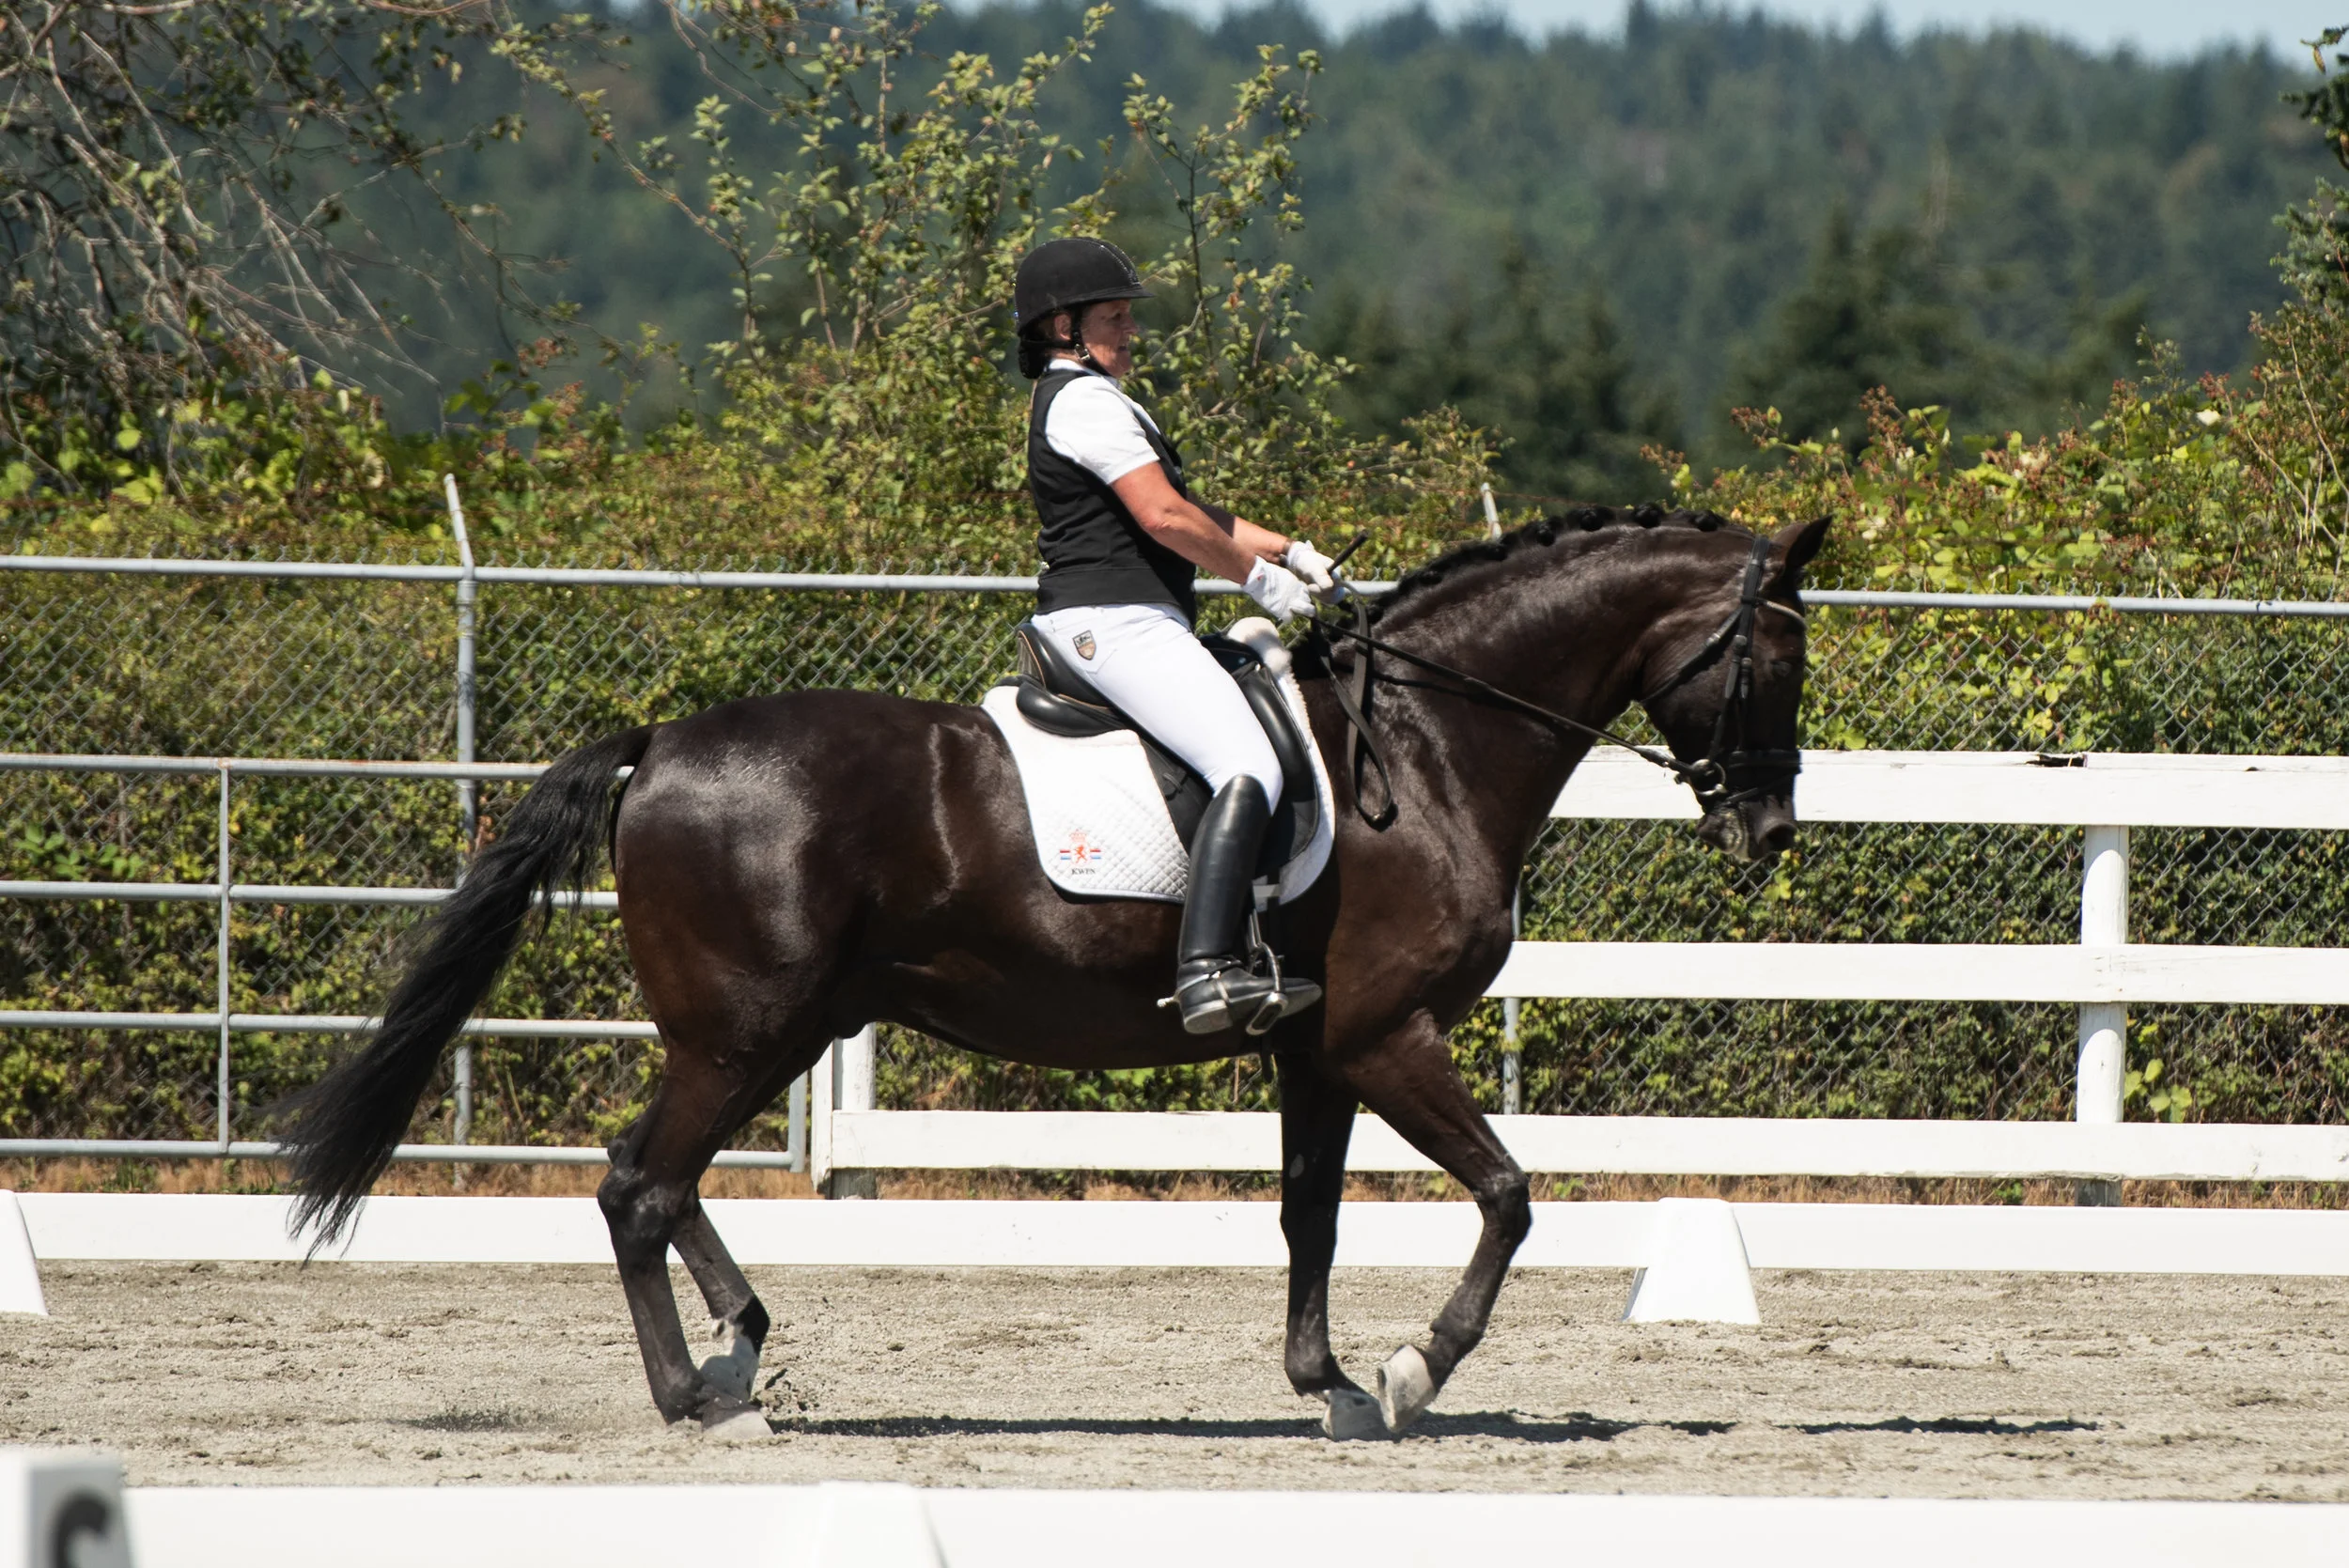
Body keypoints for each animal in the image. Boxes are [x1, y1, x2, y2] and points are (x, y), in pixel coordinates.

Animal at [282, 504, 1827, 1442]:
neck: (1429, 747)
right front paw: (1409, 1371)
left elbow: (1311, 1221)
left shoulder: (1317, 1051)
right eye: (1773, 659)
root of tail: (659, 746)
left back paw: (738, 1345)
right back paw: (703, 1395)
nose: (1767, 828)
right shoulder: (1389, 1036)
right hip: (745, 1027)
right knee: (638, 1185)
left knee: (650, 1175)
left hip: (773, 1027)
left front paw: (1325, 1385)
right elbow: (1509, 1194)